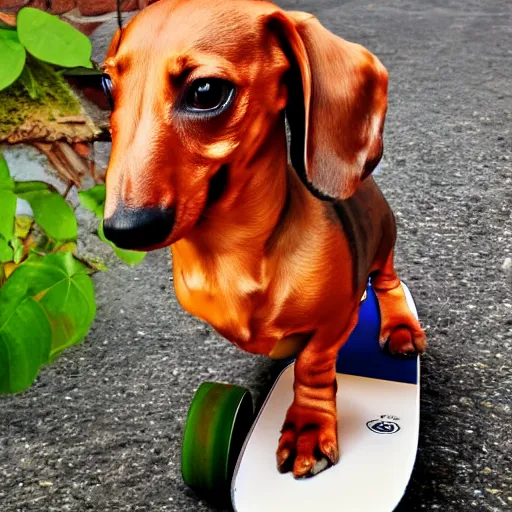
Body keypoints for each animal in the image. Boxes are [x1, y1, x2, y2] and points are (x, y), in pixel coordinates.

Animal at [102, 0, 426, 480]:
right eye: (106, 84)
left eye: (206, 91)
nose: (124, 230)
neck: (234, 256)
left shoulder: (337, 319)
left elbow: (312, 364)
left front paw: (308, 428)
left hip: (384, 244)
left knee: (388, 282)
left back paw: (401, 328)